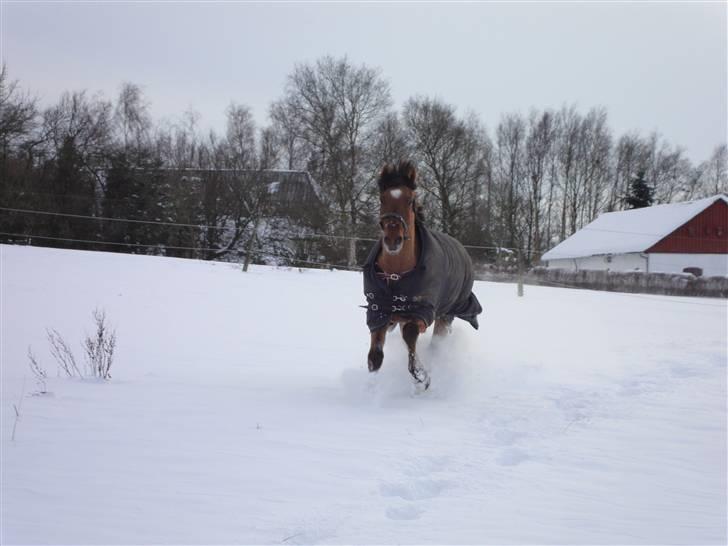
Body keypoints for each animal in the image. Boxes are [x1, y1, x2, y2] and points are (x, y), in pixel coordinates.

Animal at [360, 159, 484, 388]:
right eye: (382, 199)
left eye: (410, 200)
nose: (393, 240)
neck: (396, 275)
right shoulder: (378, 310)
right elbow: (375, 357)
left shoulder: (422, 311)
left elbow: (410, 335)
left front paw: (421, 377)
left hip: (446, 314)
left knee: (436, 342)